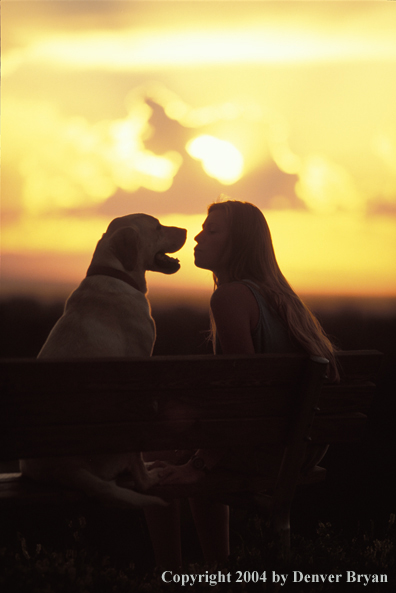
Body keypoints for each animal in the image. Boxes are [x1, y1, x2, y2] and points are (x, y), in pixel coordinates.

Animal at [20, 215, 188, 506]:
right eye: (157, 226)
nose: (188, 229)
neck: (115, 272)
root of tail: (64, 468)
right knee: (137, 471)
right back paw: (150, 475)